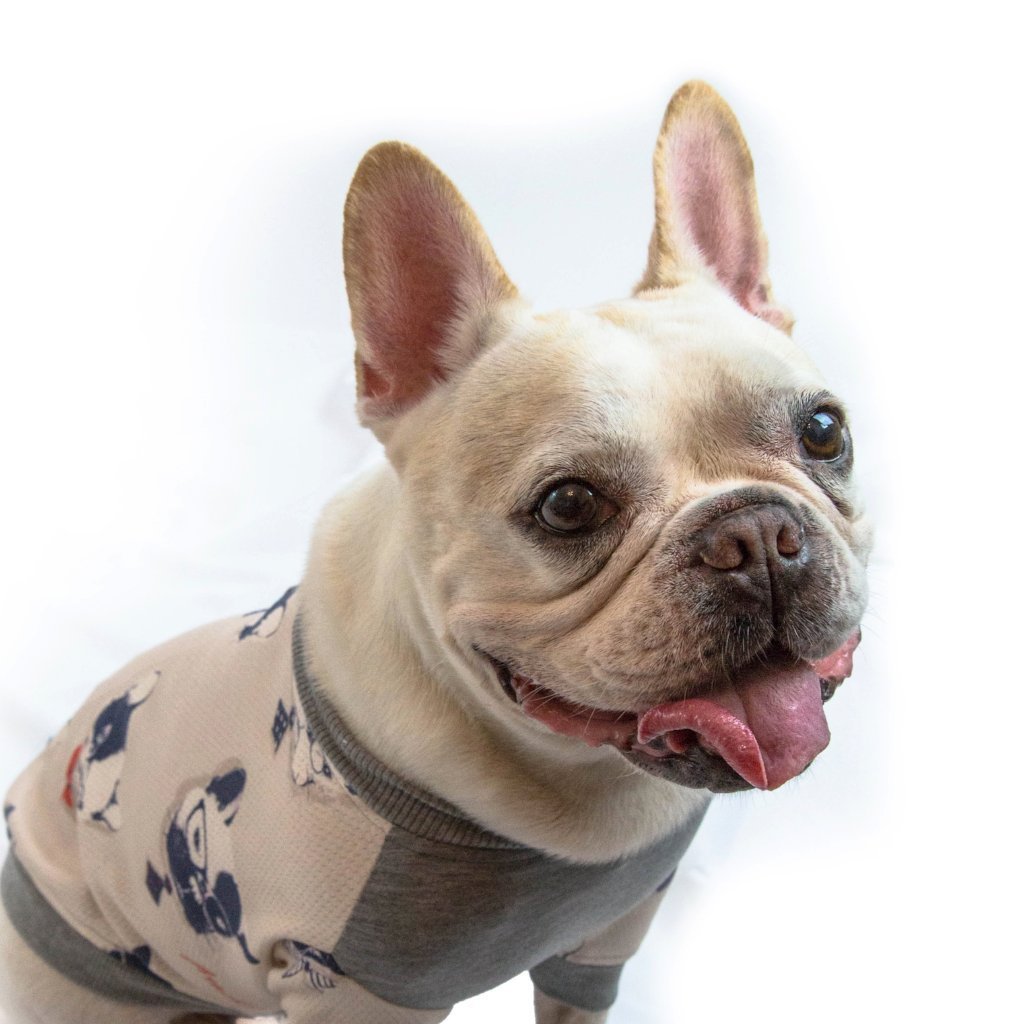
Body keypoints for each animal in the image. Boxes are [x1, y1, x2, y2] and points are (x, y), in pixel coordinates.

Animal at [0, 82, 870, 1024]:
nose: (754, 536)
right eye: (568, 505)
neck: (575, 779)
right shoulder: (351, 988)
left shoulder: (608, 936)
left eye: (825, 432)